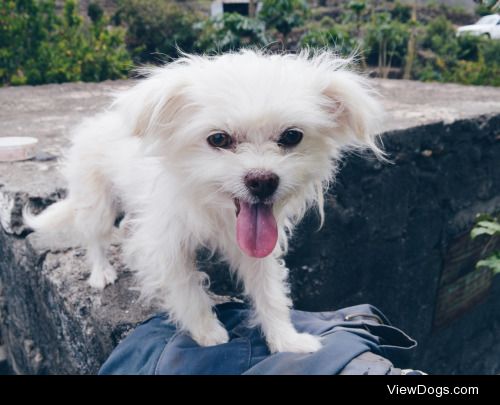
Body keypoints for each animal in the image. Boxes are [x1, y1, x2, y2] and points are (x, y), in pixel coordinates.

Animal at [25, 50, 384, 352]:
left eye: (292, 136)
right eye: (219, 139)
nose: (263, 180)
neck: (215, 208)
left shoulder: (257, 247)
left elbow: (269, 292)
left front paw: (286, 340)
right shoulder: (167, 243)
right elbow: (187, 289)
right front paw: (207, 332)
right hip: (96, 201)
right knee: (94, 237)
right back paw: (101, 272)